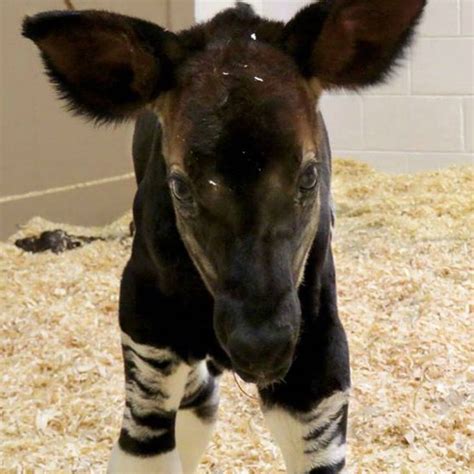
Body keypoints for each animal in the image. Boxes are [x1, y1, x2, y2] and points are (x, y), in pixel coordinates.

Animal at [23, 1, 426, 472]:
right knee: (198, 395)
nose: (261, 346)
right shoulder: (147, 328)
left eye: (309, 176)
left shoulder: (316, 357)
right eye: (180, 186)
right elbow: (148, 443)